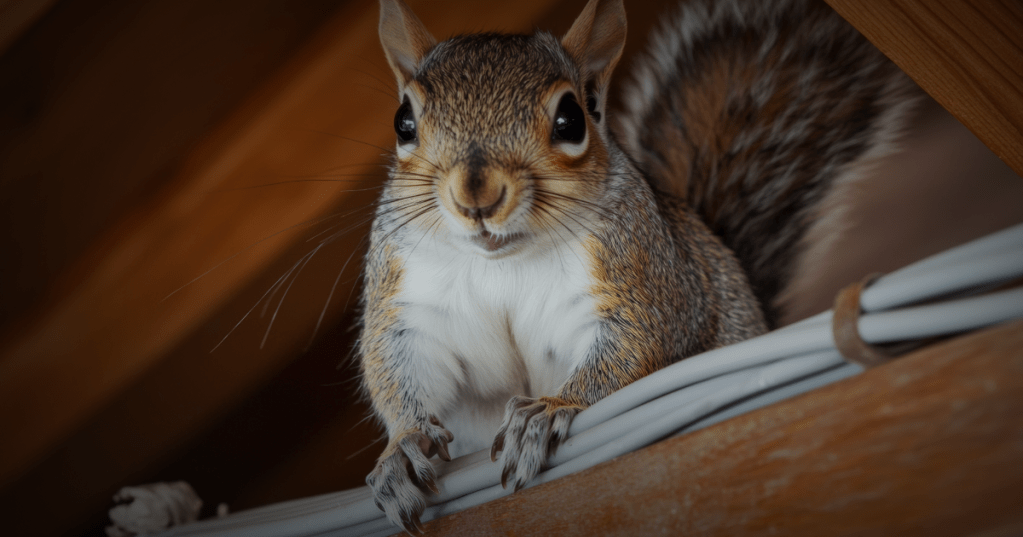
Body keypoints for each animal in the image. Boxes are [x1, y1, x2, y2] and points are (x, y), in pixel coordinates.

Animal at [360, 0, 918, 531]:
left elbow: (632, 346)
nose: (476, 196)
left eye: (571, 119)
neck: (504, 260)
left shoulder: (639, 278)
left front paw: (549, 410)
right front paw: (403, 448)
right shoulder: (410, 300)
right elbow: (399, 363)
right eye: (403, 122)